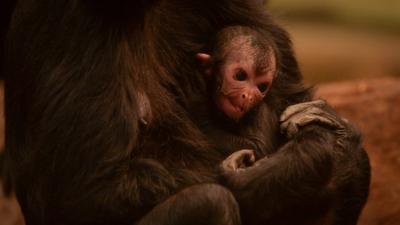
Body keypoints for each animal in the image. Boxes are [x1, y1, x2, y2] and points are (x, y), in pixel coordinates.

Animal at [3, 0, 370, 225]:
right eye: (239, 75)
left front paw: (325, 136)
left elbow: (289, 93)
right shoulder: (68, 15)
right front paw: (267, 172)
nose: (248, 92)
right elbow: (83, 189)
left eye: (258, 82)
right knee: (208, 203)